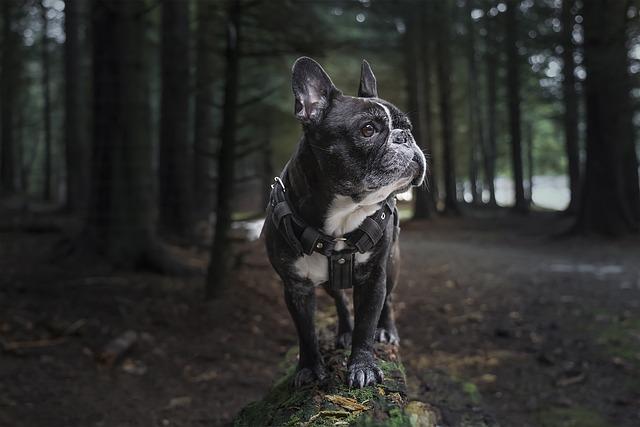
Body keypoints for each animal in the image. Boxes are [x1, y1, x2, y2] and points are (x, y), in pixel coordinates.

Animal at [264, 57, 424, 392]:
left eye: (407, 127)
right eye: (368, 130)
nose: (405, 137)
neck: (343, 214)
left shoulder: (374, 277)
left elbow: (367, 323)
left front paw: (363, 366)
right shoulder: (296, 287)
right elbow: (306, 332)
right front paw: (310, 368)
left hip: (392, 263)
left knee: (389, 300)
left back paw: (386, 330)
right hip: (328, 282)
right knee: (340, 299)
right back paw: (344, 331)